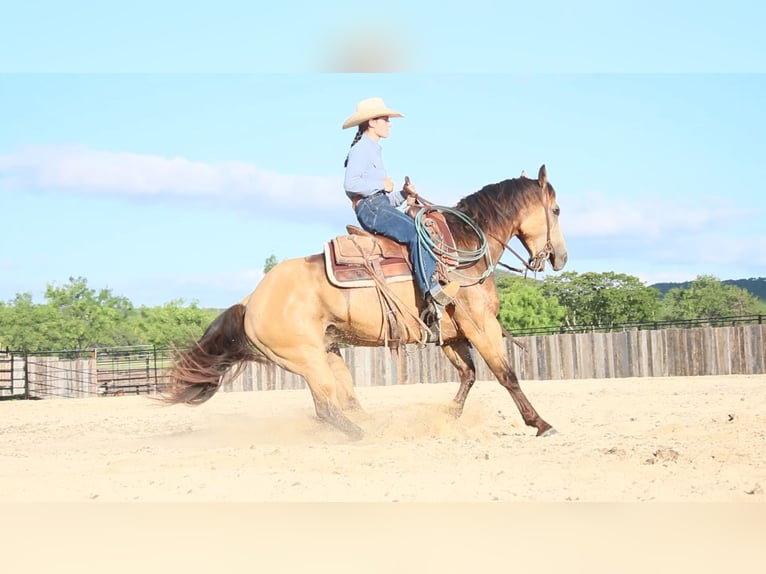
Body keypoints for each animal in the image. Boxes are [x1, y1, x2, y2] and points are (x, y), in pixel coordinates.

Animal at [163, 164, 568, 439]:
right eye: (557, 210)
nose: (560, 258)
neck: (461, 249)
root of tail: (251, 299)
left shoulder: (452, 335)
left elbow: (468, 375)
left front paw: (449, 416)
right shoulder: (479, 324)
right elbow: (505, 374)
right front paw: (540, 423)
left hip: (329, 352)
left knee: (346, 402)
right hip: (308, 360)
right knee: (327, 408)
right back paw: (365, 435)